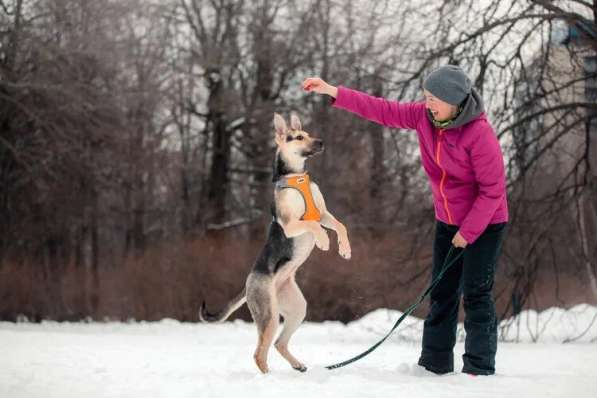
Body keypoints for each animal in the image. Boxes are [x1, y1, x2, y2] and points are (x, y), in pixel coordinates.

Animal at [198, 112, 352, 374]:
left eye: (308, 134)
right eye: (298, 137)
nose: (321, 142)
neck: (296, 176)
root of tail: (249, 282)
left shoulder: (323, 214)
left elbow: (340, 225)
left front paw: (344, 249)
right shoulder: (291, 224)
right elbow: (314, 226)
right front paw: (322, 241)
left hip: (296, 307)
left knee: (279, 343)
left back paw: (298, 365)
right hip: (268, 314)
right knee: (260, 353)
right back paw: (269, 378)